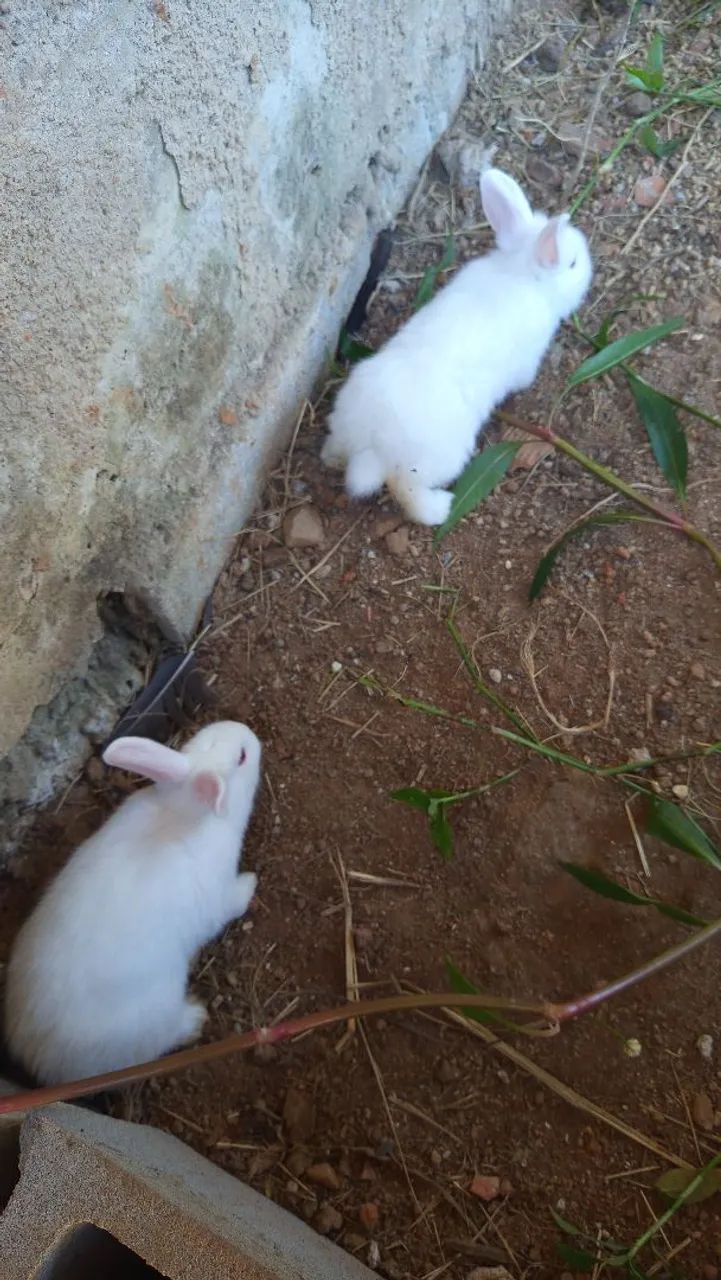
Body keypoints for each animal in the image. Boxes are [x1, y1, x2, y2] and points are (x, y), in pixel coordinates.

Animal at [3, 720, 261, 1086]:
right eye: (241, 756)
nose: (250, 735)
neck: (184, 813)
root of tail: (39, 1061)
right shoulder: (217, 896)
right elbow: (232, 902)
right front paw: (251, 882)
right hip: (156, 1011)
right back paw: (194, 1018)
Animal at [321, 167, 593, 526]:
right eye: (572, 263)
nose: (590, 268)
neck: (522, 273)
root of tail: (372, 444)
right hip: (439, 459)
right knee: (406, 489)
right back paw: (441, 508)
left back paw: (332, 458)